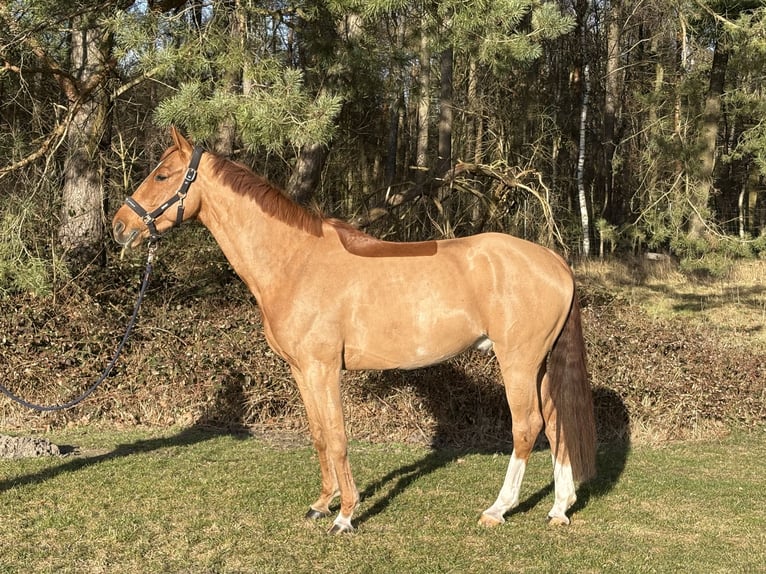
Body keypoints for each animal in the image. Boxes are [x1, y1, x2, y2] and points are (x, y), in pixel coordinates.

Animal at [112, 127, 597, 534]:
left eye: (162, 174)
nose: (121, 226)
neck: (296, 261)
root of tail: (554, 261)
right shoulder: (301, 371)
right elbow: (319, 436)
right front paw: (321, 504)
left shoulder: (324, 368)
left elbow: (338, 437)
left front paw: (344, 515)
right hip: (538, 365)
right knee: (556, 423)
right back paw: (558, 509)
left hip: (517, 361)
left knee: (527, 426)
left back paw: (498, 509)